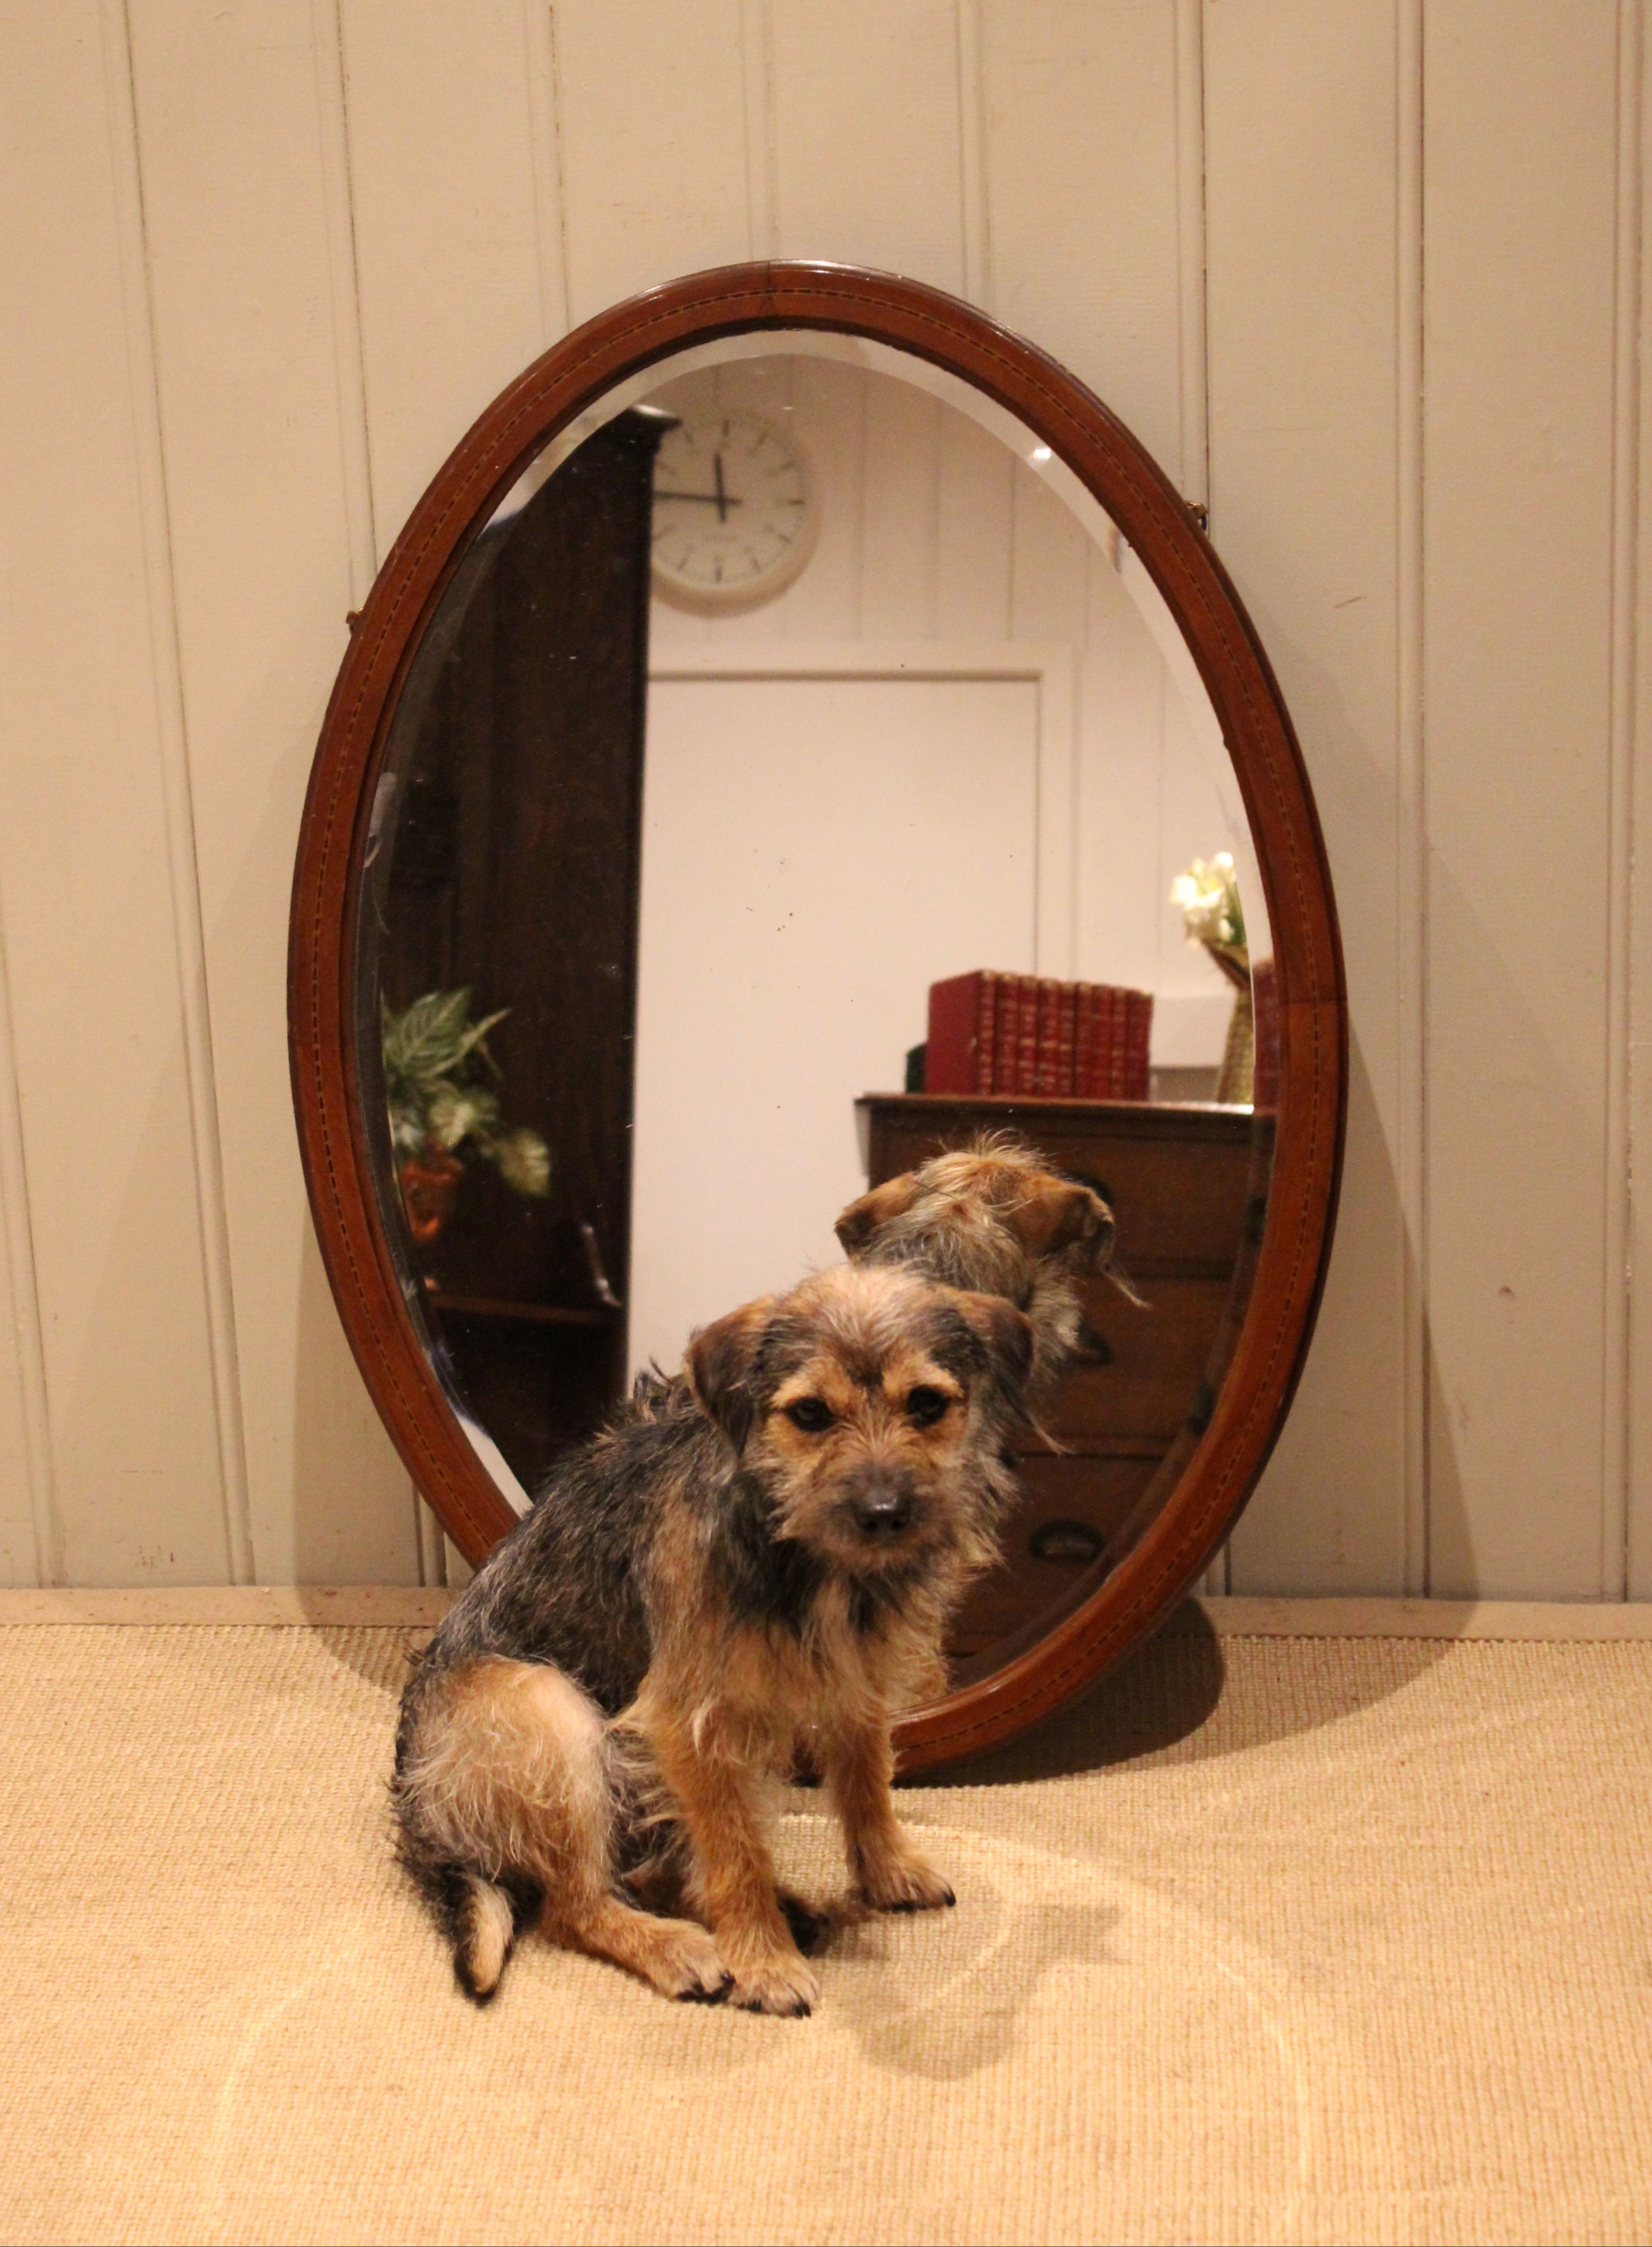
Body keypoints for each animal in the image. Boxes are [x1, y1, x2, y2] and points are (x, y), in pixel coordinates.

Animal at [393, 1262, 1033, 2015]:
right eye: (811, 1414)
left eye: (927, 1404)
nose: (884, 1512)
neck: (800, 1553)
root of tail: (422, 1819)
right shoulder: (691, 1724)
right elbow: (735, 1851)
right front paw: (763, 1961)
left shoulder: (858, 1681)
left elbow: (867, 1780)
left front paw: (887, 1870)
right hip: (545, 1706)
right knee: (574, 1906)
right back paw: (681, 1946)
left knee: (648, 1872)